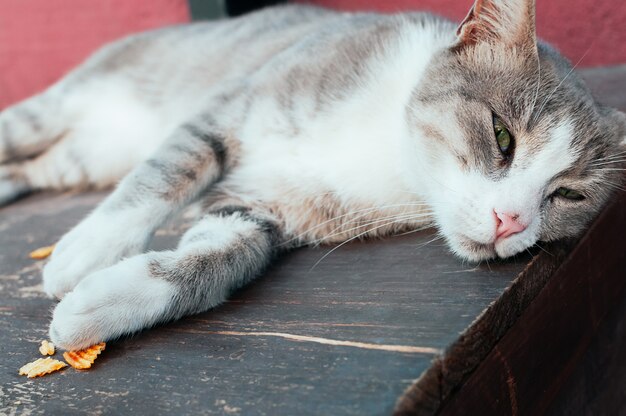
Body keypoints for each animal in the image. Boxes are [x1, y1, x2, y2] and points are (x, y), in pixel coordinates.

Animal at [0, 0, 620, 352]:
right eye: (502, 136)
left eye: (567, 194)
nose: (511, 220)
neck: (388, 148)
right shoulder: (229, 108)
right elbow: (165, 172)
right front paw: (87, 251)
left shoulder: (255, 208)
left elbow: (213, 261)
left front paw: (99, 305)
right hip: (56, 108)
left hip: (80, 158)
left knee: (36, 167)